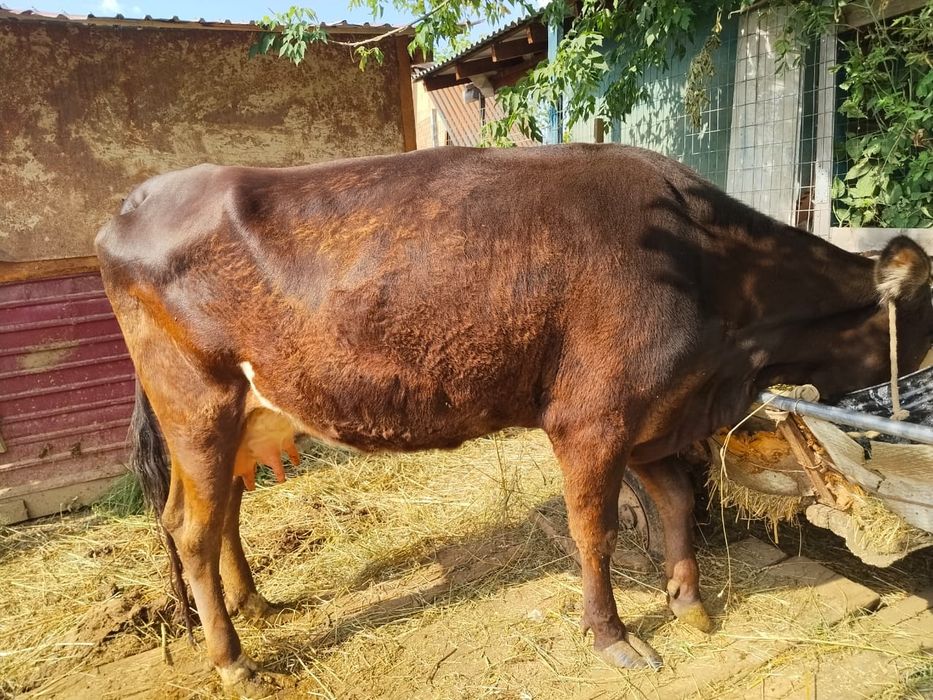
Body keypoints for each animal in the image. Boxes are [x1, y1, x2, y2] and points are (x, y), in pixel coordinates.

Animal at [96, 144, 933, 693]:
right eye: (928, 310)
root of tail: (131, 205)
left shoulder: (650, 413)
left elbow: (675, 504)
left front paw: (689, 604)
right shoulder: (591, 420)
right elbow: (594, 533)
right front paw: (613, 637)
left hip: (235, 416)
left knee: (219, 513)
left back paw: (255, 605)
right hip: (197, 404)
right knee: (191, 529)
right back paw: (234, 659)